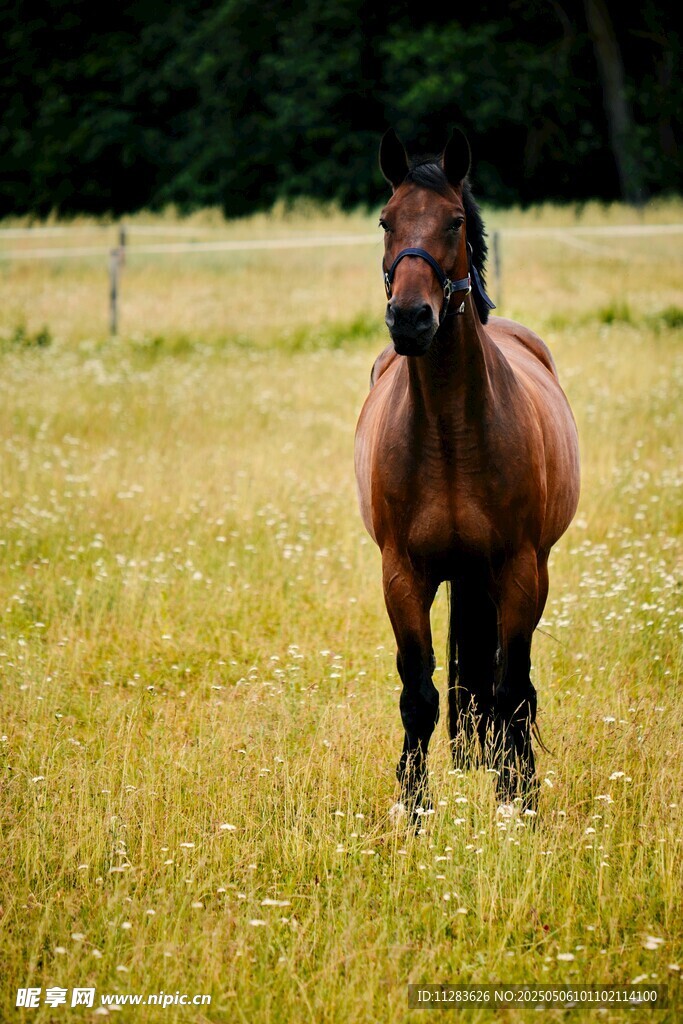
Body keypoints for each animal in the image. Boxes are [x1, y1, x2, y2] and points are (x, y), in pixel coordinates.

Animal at [354, 129, 580, 816]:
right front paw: (415, 810)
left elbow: (510, 692)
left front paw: (518, 802)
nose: (410, 320)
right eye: (386, 220)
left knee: (513, 687)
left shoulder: (519, 572)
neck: (451, 435)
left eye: (453, 220)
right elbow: (419, 696)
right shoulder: (402, 576)